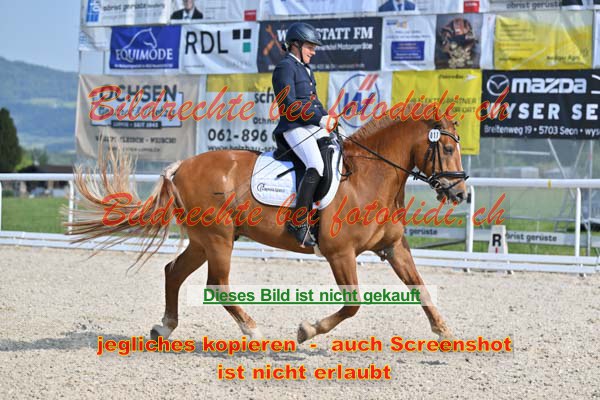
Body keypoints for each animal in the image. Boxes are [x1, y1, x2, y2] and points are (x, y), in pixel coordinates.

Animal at [67, 112, 468, 343]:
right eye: (447, 149)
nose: (460, 193)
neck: (370, 175)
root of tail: (180, 166)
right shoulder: (340, 254)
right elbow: (353, 304)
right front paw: (307, 331)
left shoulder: (394, 247)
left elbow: (420, 287)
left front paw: (444, 332)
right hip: (218, 238)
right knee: (217, 284)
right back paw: (253, 330)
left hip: (203, 240)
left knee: (173, 272)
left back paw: (164, 327)